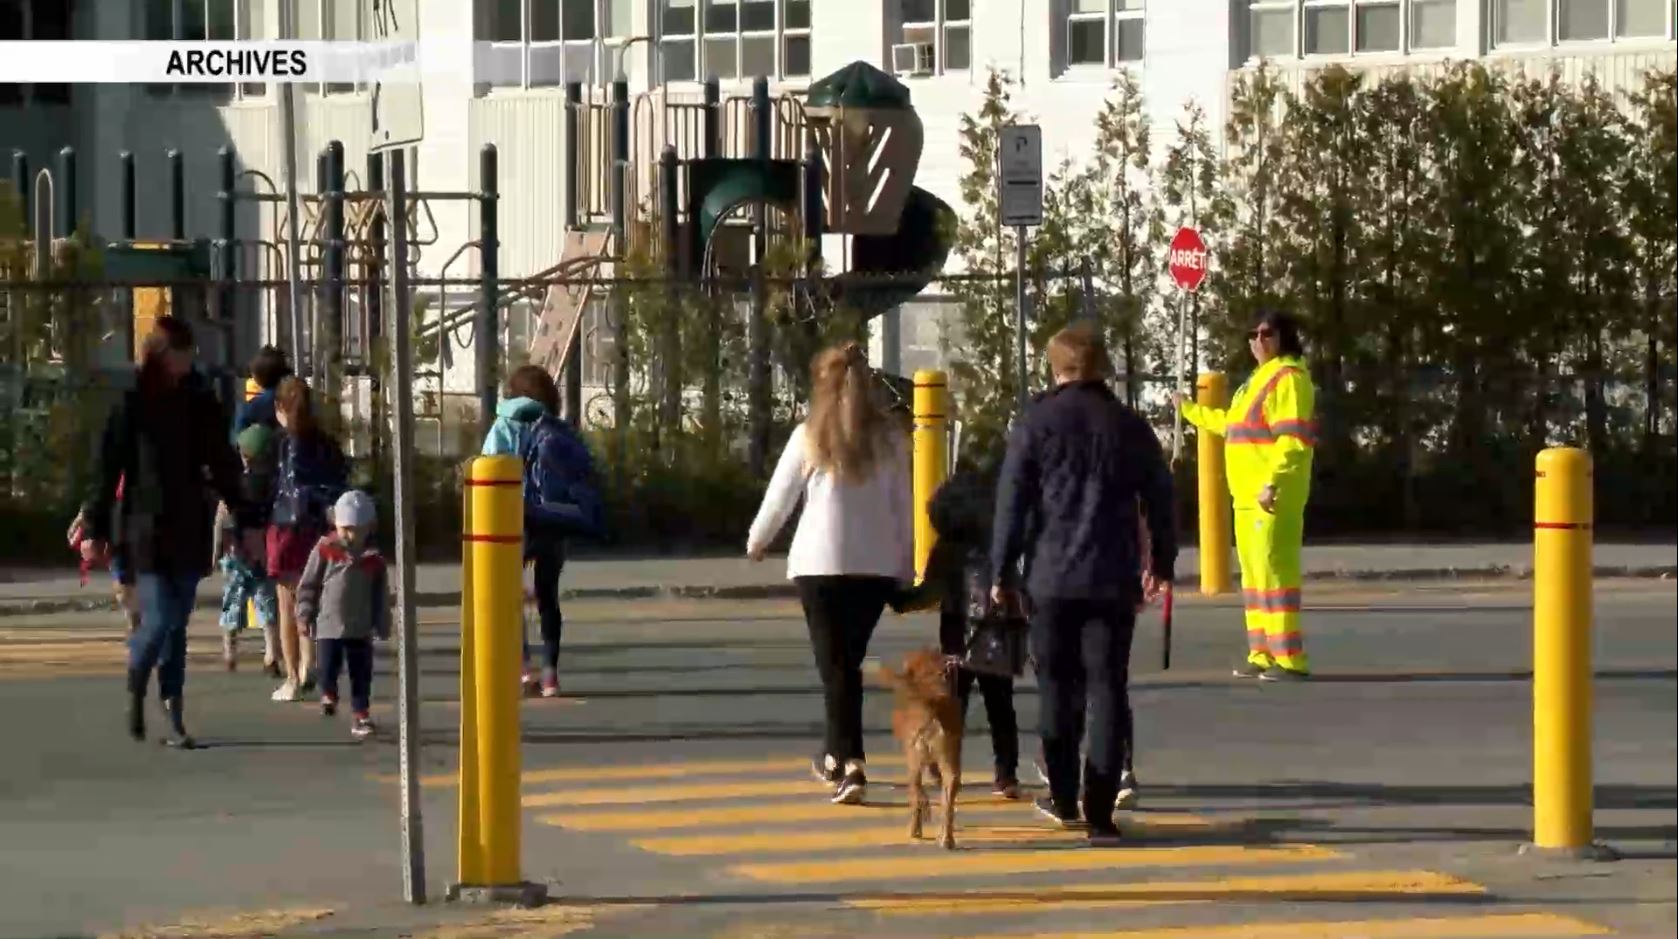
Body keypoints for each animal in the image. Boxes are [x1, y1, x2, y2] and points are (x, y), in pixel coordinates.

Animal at [879, 650, 959, 848]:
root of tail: (934, 707)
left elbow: (916, 793)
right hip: (949, 757)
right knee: (949, 794)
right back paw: (946, 838)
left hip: (915, 756)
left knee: (917, 791)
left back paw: (917, 826)